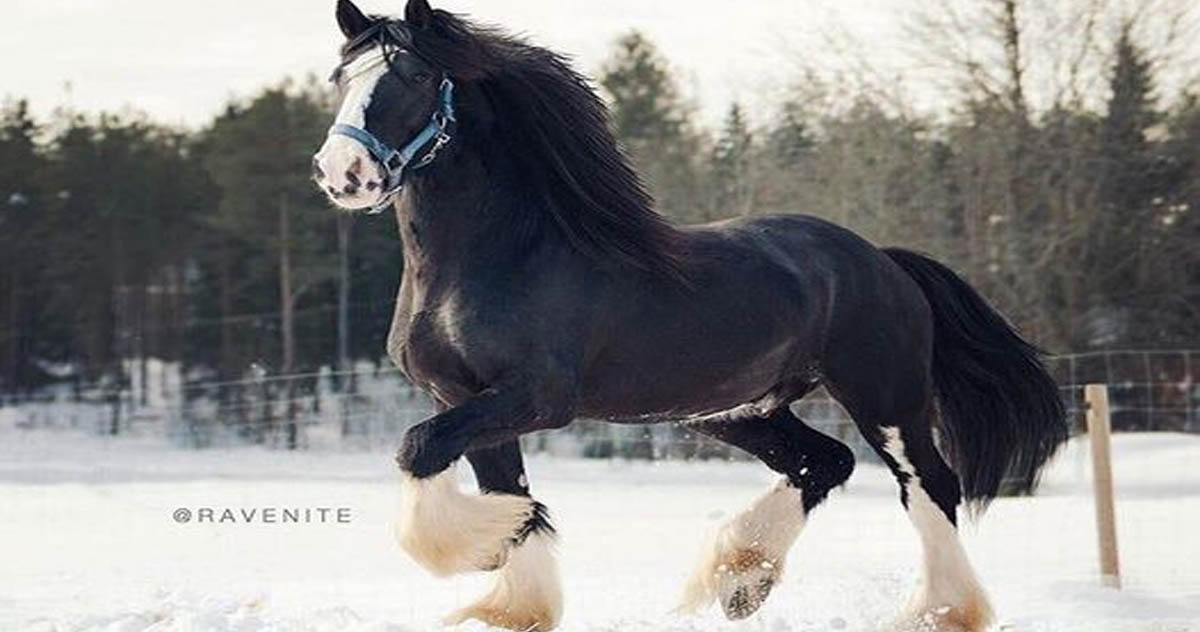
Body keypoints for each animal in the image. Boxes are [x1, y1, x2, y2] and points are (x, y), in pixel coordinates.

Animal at [312, 2, 1070, 628]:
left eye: (413, 75)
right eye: (339, 76)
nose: (342, 172)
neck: (493, 257)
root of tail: (881, 260)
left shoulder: (535, 397)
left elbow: (417, 449)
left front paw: (479, 554)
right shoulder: (462, 397)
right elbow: (508, 496)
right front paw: (512, 587)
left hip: (886, 399)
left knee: (928, 485)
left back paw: (941, 612)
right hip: (738, 410)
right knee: (822, 462)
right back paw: (740, 581)